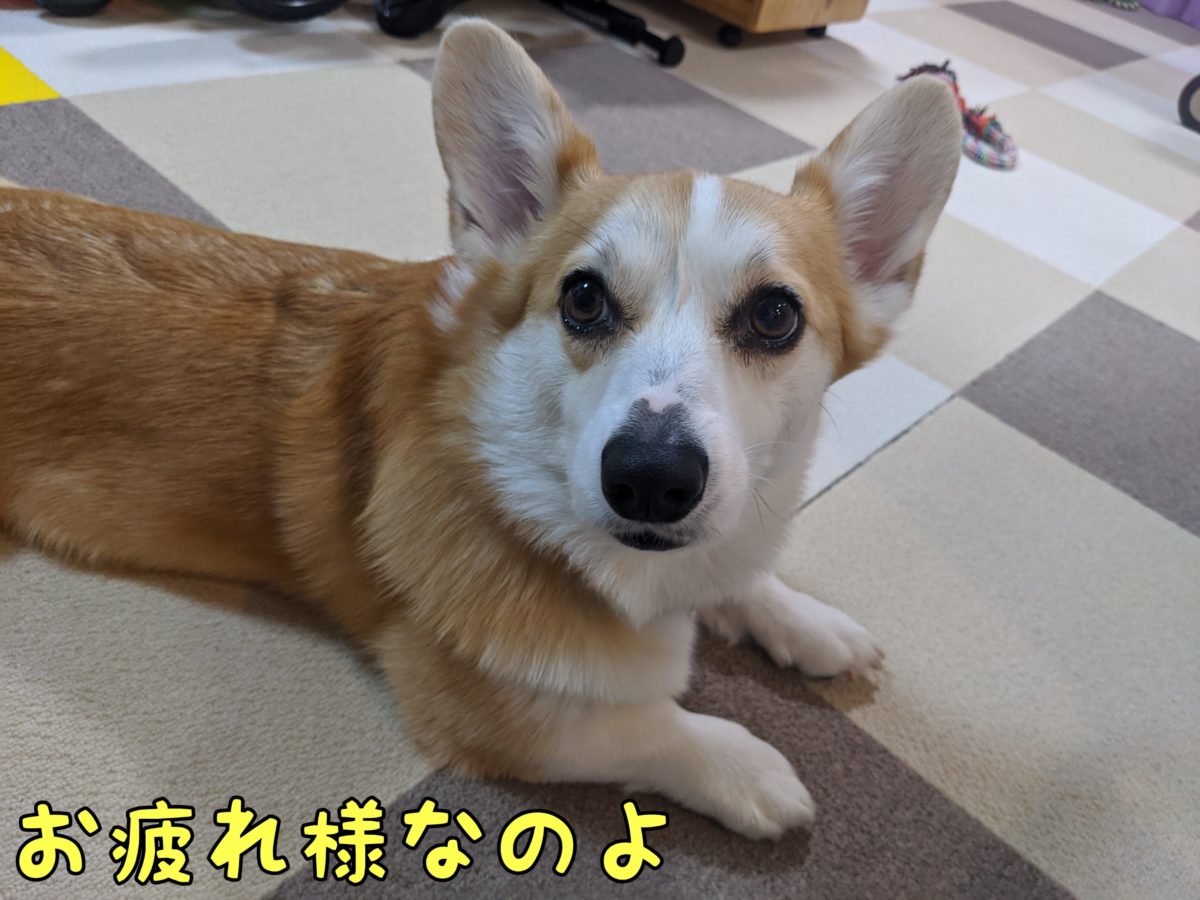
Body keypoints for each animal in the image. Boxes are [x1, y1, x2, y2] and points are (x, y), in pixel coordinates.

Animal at [0, 21, 960, 839]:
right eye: (583, 298)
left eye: (774, 316)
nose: (650, 478)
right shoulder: (488, 710)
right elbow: (652, 725)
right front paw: (749, 769)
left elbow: (744, 573)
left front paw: (807, 622)